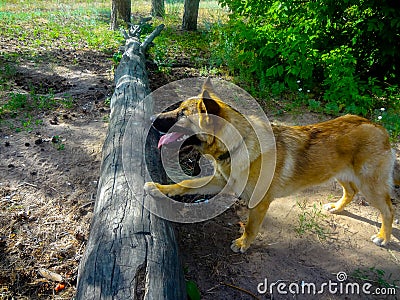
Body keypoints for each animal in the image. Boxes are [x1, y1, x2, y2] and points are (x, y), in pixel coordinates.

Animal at [145, 78, 400, 252]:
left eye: (182, 114)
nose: (151, 119)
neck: (237, 145)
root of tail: (379, 128)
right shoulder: (220, 182)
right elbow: (186, 184)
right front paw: (159, 189)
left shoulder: (258, 204)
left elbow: (250, 226)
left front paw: (243, 243)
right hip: (340, 174)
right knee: (351, 192)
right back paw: (337, 208)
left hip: (371, 186)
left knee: (389, 210)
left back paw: (384, 237)